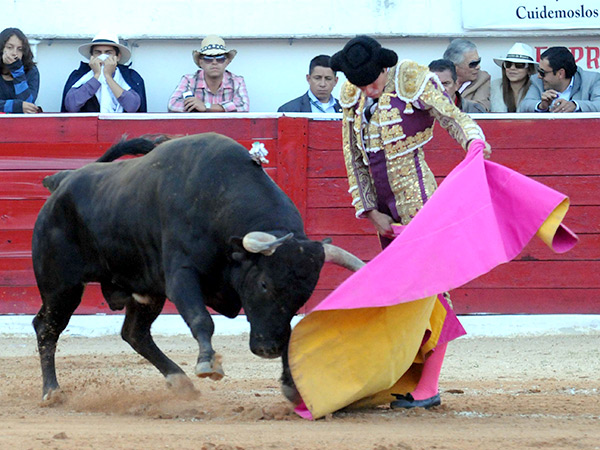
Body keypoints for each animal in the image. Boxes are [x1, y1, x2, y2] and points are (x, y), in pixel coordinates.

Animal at [32, 133, 364, 404]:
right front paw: (208, 363)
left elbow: (288, 330)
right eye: (264, 284)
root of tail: (63, 182)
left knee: (135, 333)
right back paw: (51, 391)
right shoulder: (181, 275)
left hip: (145, 291)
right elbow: (201, 318)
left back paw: (180, 382)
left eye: (303, 295)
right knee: (47, 328)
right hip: (61, 286)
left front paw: (292, 386)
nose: (268, 349)